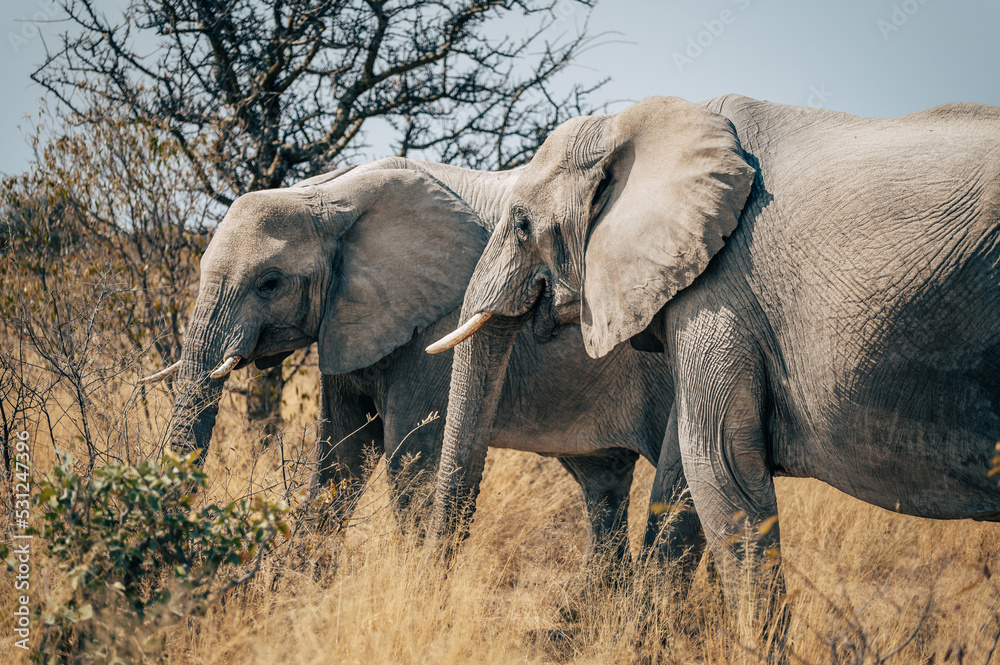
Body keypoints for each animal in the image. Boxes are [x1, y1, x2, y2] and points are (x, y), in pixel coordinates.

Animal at [145, 157, 704, 572]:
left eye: (270, 283)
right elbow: (340, 452)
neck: (327, 195)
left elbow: (409, 459)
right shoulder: (349, 318)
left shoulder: (437, 320)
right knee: (603, 488)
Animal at [430, 96, 1000, 620]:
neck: (633, 126)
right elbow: (680, 465)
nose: (436, 597)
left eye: (523, 224)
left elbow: (717, 464)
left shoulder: (720, 288)